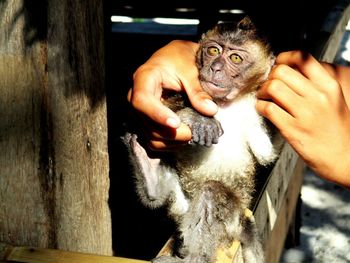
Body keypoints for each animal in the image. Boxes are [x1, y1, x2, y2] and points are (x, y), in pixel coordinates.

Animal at [122, 16, 278, 263]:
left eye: (235, 58)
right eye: (213, 50)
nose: (215, 67)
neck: (225, 104)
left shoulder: (254, 113)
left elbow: (267, 155)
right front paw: (199, 117)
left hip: (233, 220)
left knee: (212, 192)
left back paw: (196, 257)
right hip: (180, 202)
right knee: (162, 198)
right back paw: (148, 168)